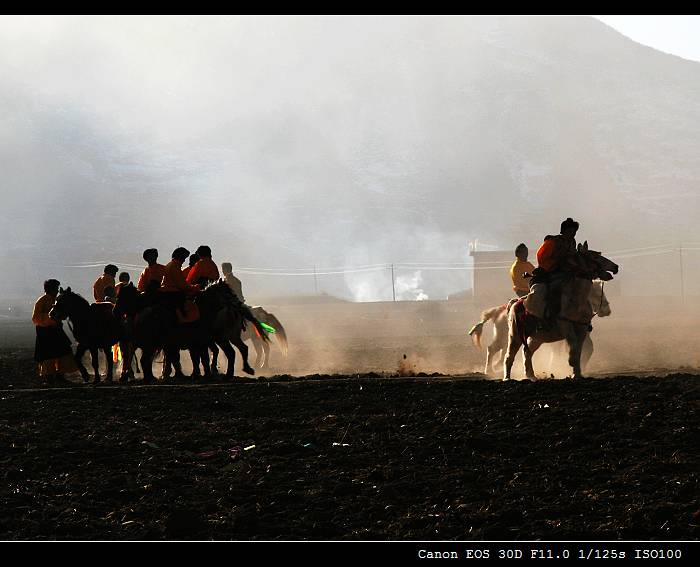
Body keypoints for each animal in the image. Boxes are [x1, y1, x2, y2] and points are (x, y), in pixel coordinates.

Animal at [470, 280, 612, 378]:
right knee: (496, 350)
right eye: (597, 293)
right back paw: (493, 371)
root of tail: (499, 312)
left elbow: (584, 348)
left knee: (520, 352)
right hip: (508, 338)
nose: (607, 310)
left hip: (529, 339)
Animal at [504, 244, 616, 382]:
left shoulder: (582, 329)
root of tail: (514, 303)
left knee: (527, 352)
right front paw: (572, 367)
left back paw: (531, 376)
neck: (576, 300)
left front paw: (577, 374)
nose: (615, 267)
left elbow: (579, 351)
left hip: (536, 338)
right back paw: (507, 378)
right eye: (594, 256)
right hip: (515, 336)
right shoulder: (566, 327)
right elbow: (573, 349)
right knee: (509, 356)